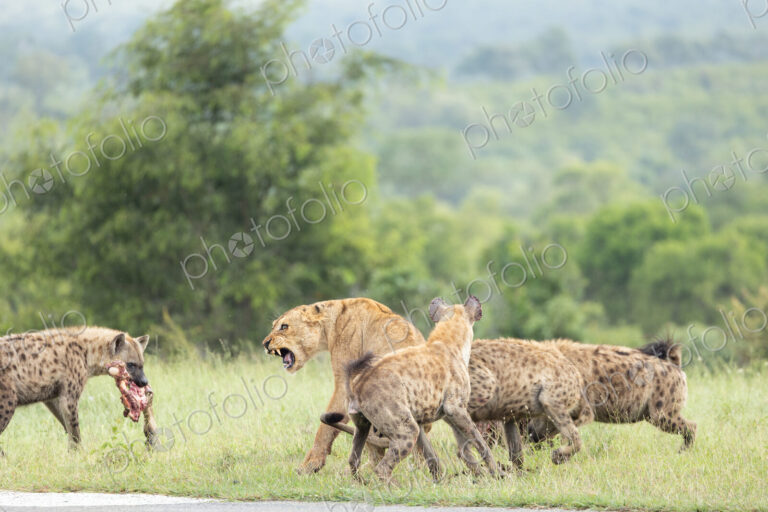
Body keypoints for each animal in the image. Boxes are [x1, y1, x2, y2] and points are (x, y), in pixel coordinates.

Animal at [262, 297, 425, 474]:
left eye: (284, 326)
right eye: (273, 326)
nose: (265, 343)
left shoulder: (344, 382)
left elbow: (324, 428)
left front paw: (309, 465)